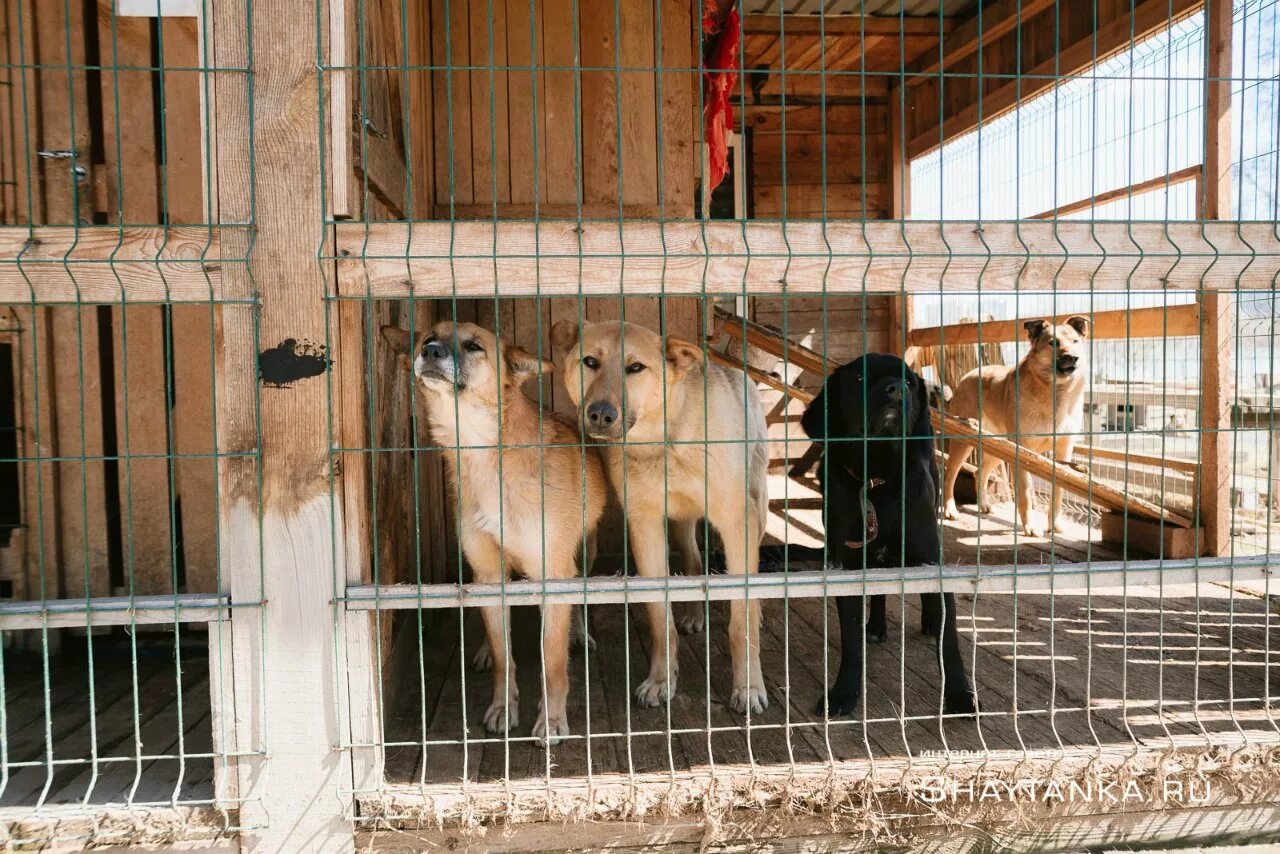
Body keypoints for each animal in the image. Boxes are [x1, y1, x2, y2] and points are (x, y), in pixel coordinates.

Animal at [378, 323, 609, 742]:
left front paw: (552, 719)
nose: (430, 352)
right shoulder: (487, 572)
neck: (483, 452)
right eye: (426, 338)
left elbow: (552, 662)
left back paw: (577, 635)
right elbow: (505, 658)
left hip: (583, 554)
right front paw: (503, 705)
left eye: (473, 346)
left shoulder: (554, 572)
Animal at [552, 318, 768, 717]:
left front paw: (748, 687)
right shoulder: (646, 525)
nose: (601, 414)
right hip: (680, 526)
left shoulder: (737, 522)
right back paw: (695, 615)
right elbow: (658, 617)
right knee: (695, 561)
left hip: (756, 509)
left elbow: (741, 619)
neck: (663, 439)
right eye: (590, 362)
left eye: (636, 367)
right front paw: (661, 680)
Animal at [757, 350, 977, 717]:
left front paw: (960, 694)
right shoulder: (847, 567)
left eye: (908, 381)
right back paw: (875, 626)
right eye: (860, 378)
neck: (877, 479)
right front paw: (844, 693)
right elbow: (851, 640)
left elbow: (949, 642)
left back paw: (929, 619)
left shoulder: (930, 557)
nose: (895, 389)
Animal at [942, 317, 1090, 537]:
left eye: (1075, 341)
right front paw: (1030, 527)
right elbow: (1025, 492)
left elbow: (1058, 491)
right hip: (964, 442)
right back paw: (949, 509)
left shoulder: (1064, 449)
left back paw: (983, 505)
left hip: (999, 448)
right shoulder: (1022, 451)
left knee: (980, 473)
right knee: (950, 474)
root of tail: (966, 377)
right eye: (1053, 343)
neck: (1054, 391)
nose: (1072, 357)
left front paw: (1053, 525)